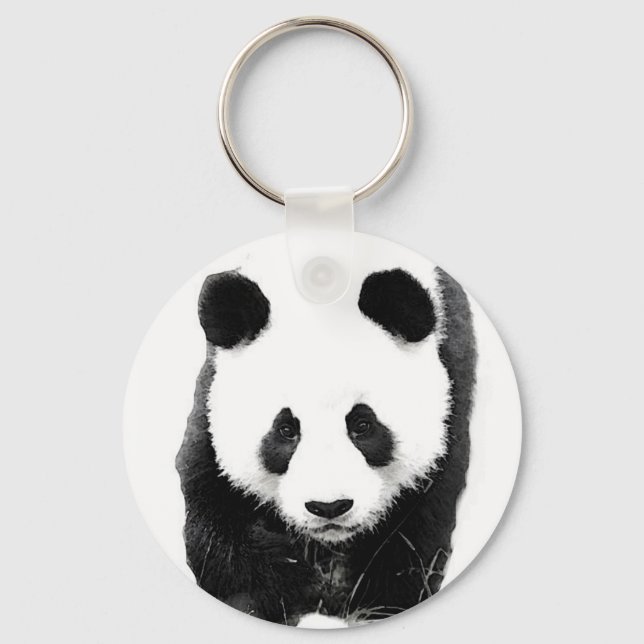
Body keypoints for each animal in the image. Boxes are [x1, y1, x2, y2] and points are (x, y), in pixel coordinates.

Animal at [175, 255, 476, 626]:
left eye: (363, 425)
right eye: (286, 429)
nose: (329, 507)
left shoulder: (451, 392)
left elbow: (414, 534)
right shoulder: (210, 408)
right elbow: (217, 523)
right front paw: (288, 581)